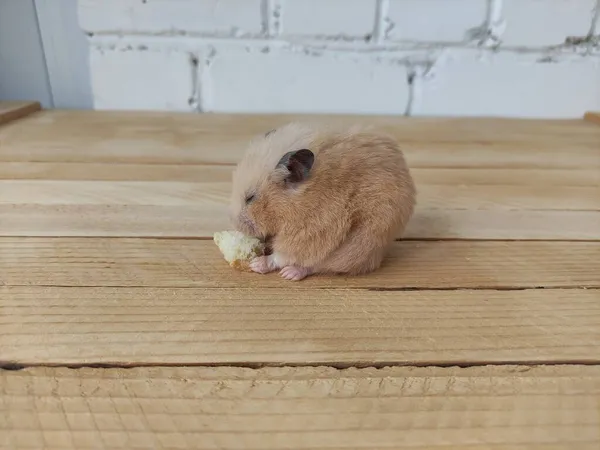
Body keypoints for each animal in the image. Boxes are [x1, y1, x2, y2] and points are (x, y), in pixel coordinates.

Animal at [230, 121, 418, 280]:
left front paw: (256, 263)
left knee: (320, 265)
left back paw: (290, 273)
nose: (236, 227)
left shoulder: (313, 230)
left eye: (250, 198)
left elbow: (285, 254)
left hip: (359, 246)